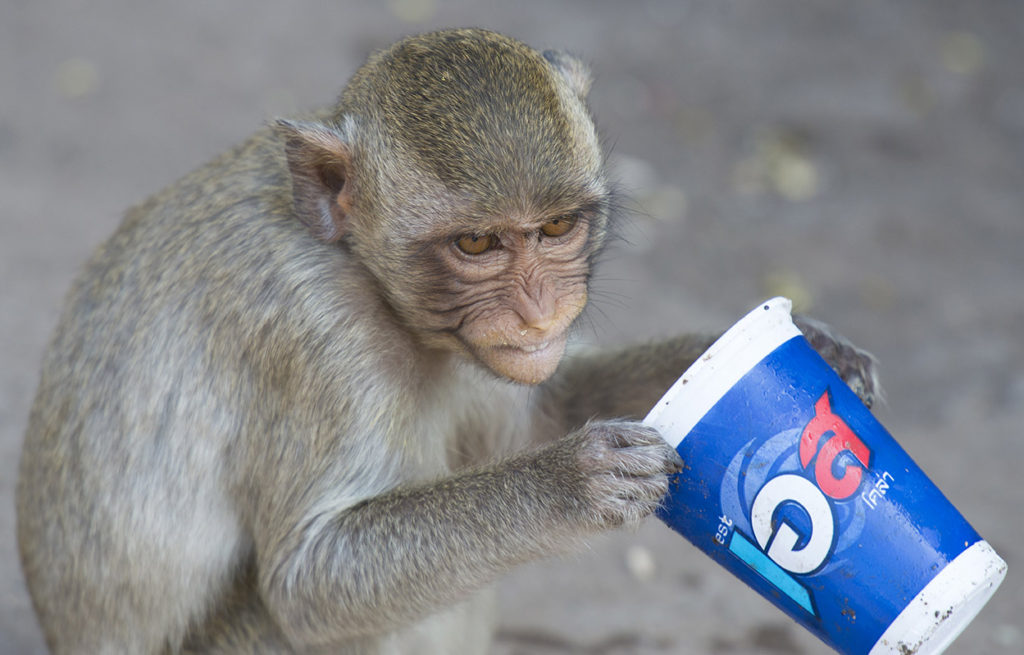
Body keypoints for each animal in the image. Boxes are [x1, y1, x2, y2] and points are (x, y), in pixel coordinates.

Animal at [16, 28, 880, 650]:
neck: (360, 269)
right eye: (476, 245)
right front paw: (573, 480)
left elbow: (541, 410)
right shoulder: (311, 338)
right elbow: (306, 580)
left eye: (555, 228)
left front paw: (797, 353)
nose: (537, 311)